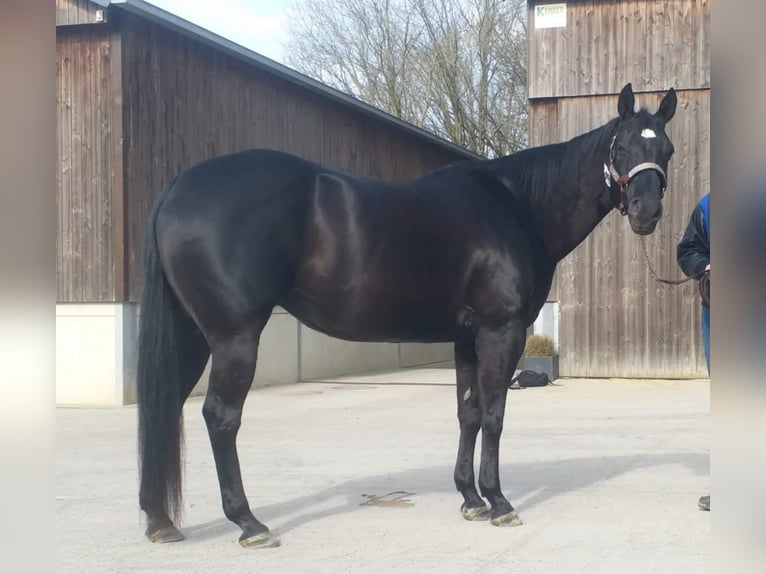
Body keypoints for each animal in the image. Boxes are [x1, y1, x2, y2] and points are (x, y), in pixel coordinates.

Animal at [136, 83, 677, 548]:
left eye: (667, 150)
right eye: (621, 148)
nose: (646, 212)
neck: (517, 205)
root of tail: (176, 188)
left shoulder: (467, 337)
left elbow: (468, 412)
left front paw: (470, 499)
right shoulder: (501, 331)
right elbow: (495, 414)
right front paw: (499, 502)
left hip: (192, 335)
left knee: (164, 407)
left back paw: (160, 520)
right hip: (234, 336)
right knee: (220, 417)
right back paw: (249, 523)